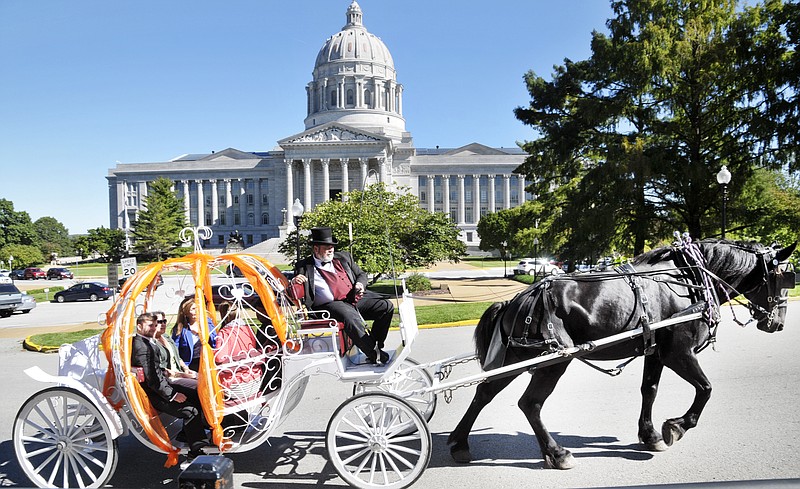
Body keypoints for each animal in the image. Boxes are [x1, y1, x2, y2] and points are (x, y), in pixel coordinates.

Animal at [450, 238, 792, 468]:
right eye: (784, 278)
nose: (778, 323)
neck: (690, 281)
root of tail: (517, 299)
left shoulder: (655, 352)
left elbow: (649, 390)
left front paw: (651, 435)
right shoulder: (679, 352)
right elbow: (706, 389)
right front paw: (676, 426)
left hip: (516, 358)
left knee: (485, 393)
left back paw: (459, 443)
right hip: (553, 361)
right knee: (530, 403)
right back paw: (556, 453)